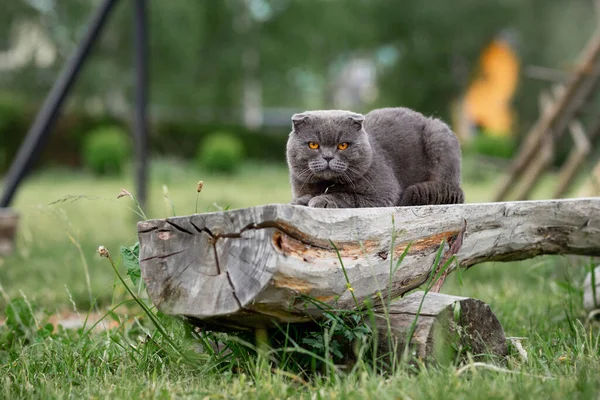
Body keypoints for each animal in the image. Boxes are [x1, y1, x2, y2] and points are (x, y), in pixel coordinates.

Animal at [286, 106, 464, 208]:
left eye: (343, 145)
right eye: (313, 145)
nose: (328, 157)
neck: (327, 184)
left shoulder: (382, 194)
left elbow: (347, 196)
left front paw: (323, 200)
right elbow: (305, 196)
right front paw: (300, 201)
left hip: (438, 135)